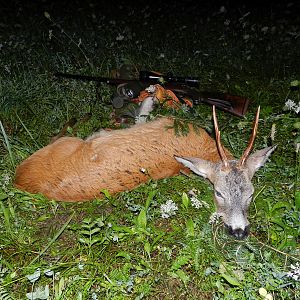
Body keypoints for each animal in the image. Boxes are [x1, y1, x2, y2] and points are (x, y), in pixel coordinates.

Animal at [14, 106, 276, 238]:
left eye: (250, 194)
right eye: (219, 193)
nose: (239, 231)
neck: (205, 147)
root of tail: (20, 177)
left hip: (65, 144)